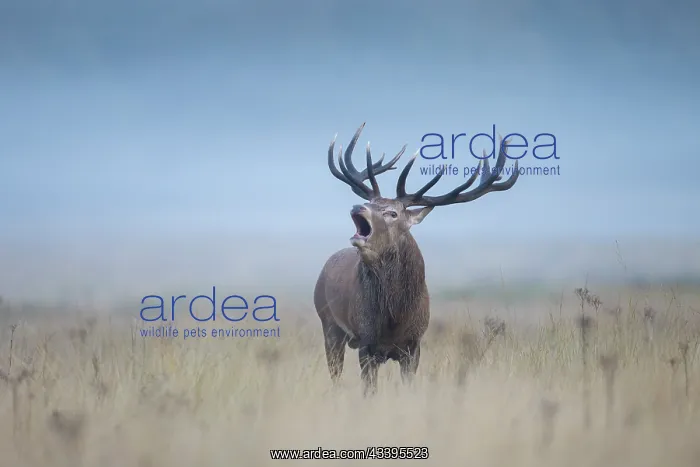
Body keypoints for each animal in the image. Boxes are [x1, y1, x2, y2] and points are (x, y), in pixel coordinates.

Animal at [313, 123, 520, 395]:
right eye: (369, 202)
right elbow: (369, 391)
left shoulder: (413, 345)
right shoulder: (366, 344)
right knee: (334, 374)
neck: (394, 317)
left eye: (392, 213)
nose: (358, 207)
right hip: (329, 324)